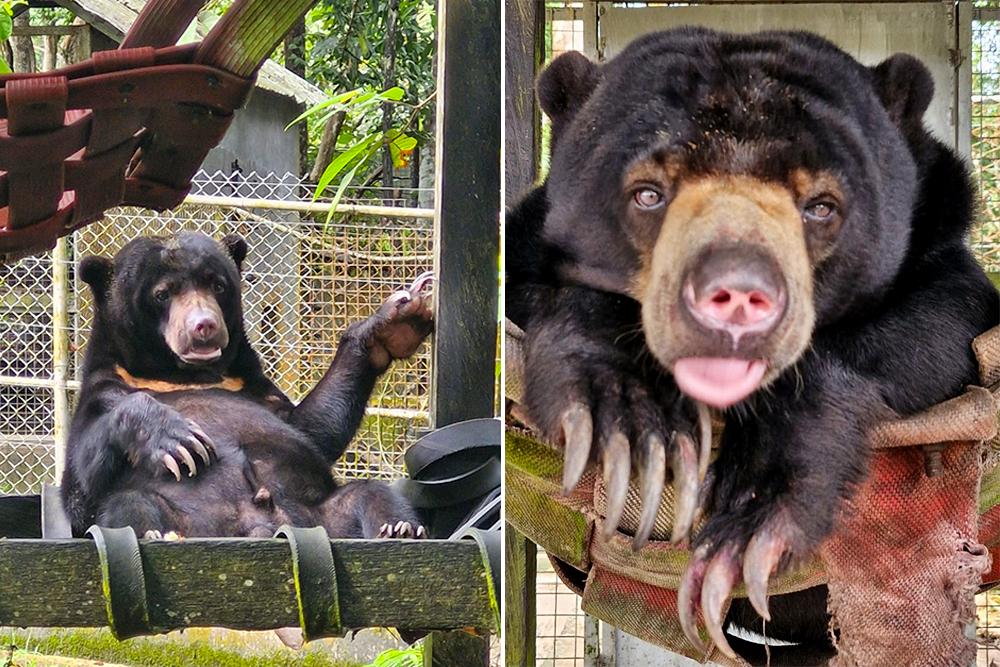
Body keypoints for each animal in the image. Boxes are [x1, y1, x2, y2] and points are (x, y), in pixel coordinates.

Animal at [61, 231, 432, 542]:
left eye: (217, 285)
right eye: (162, 293)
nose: (204, 326)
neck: (185, 374)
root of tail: (261, 526)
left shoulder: (255, 387)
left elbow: (312, 428)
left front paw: (395, 321)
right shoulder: (106, 387)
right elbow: (82, 484)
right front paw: (179, 438)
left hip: (322, 512)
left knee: (369, 493)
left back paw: (398, 527)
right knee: (128, 503)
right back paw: (158, 533)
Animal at [506, 28, 999, 663]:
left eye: (820, 206)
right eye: (649, 194)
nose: (737, 295)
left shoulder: (943, 251)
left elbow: (933, 328)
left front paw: (748, 530)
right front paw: (626, 426)